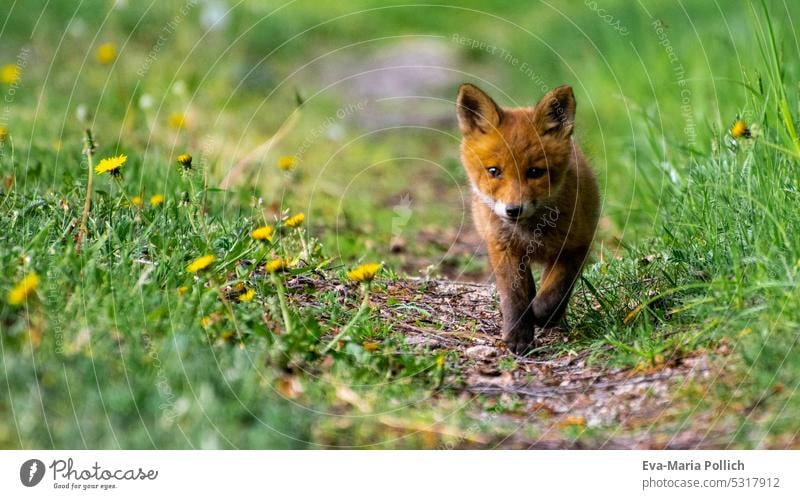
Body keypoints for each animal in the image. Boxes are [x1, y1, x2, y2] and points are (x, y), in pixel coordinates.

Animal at [454, 84, 596, 354]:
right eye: (494, 171)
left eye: (535, 172)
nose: (513, 210)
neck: (530, 232)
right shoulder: (504, 249)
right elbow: (515, 297)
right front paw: (518, 336)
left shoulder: (575, 245)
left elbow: (556, 289)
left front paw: (543, 314)